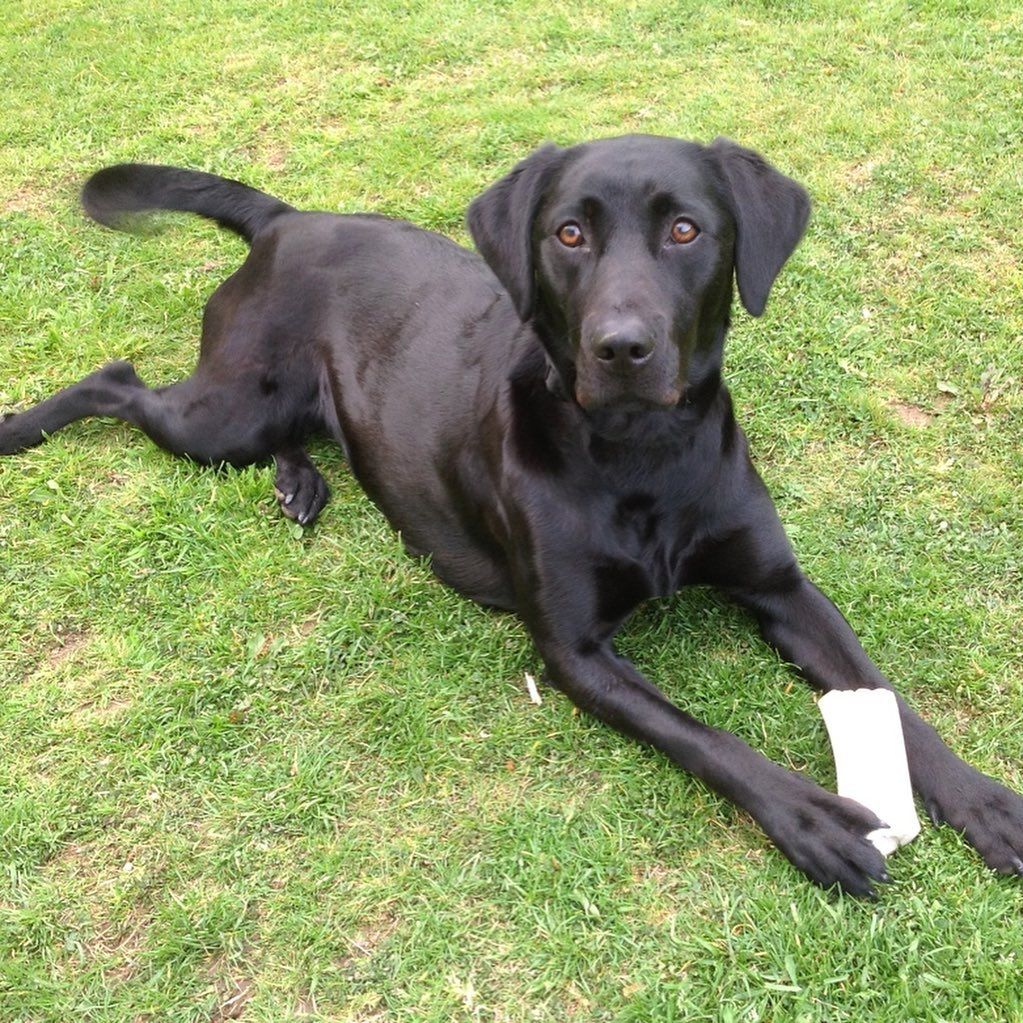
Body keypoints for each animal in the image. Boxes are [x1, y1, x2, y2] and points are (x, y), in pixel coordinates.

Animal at [3, 138, 1018, 896]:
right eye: (568, 233)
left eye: (685, 229)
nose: (621, 347)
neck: (640, 454)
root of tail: (290, 219)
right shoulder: (574, 653)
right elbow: (706, 737)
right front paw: (808, 818)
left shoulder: (779, 584)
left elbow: (885, 693)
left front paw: (982, 799)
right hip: (223, 416)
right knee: (118, 381)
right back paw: (21, 426)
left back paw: (301, 483)